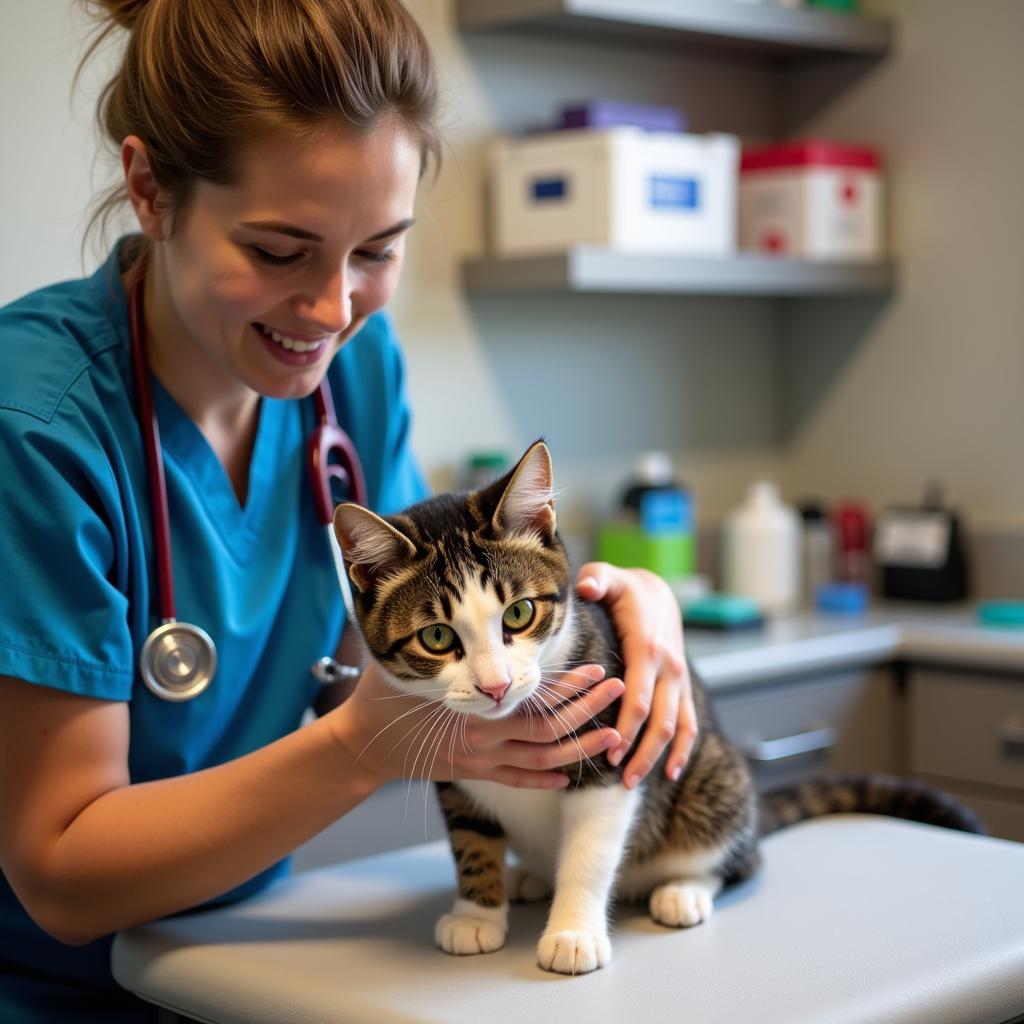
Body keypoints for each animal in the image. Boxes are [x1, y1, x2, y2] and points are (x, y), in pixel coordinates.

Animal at [333, 440, 983, 974]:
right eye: (438, 637)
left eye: (518, 613)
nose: (495, 685)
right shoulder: (452, 764)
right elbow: (471, 837)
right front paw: (476, 912)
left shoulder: (616, 741)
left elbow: (591, 847)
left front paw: (573, 933)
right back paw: (527, 876)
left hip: (709, 771)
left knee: (739, 856)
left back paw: (684, 887)